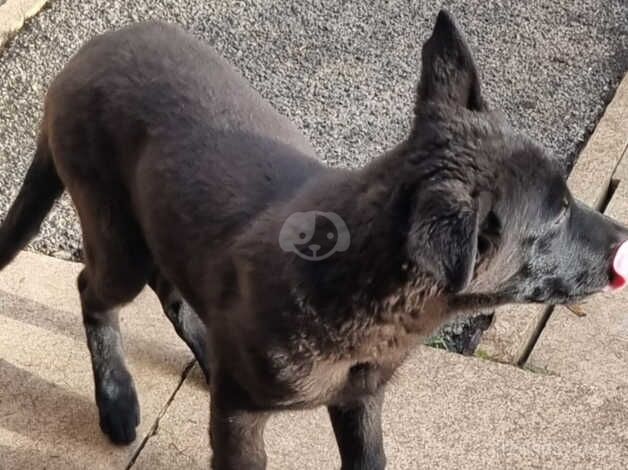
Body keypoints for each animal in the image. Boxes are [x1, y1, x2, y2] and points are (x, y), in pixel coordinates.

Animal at [1, 9, 628, 468]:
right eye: (557, 214)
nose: (624, 234)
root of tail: (82, 57)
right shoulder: (241, 419)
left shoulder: (361, 401)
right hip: (117, 238)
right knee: (93, 290)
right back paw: (116, 400)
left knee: (172, 289)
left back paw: (206, 350)